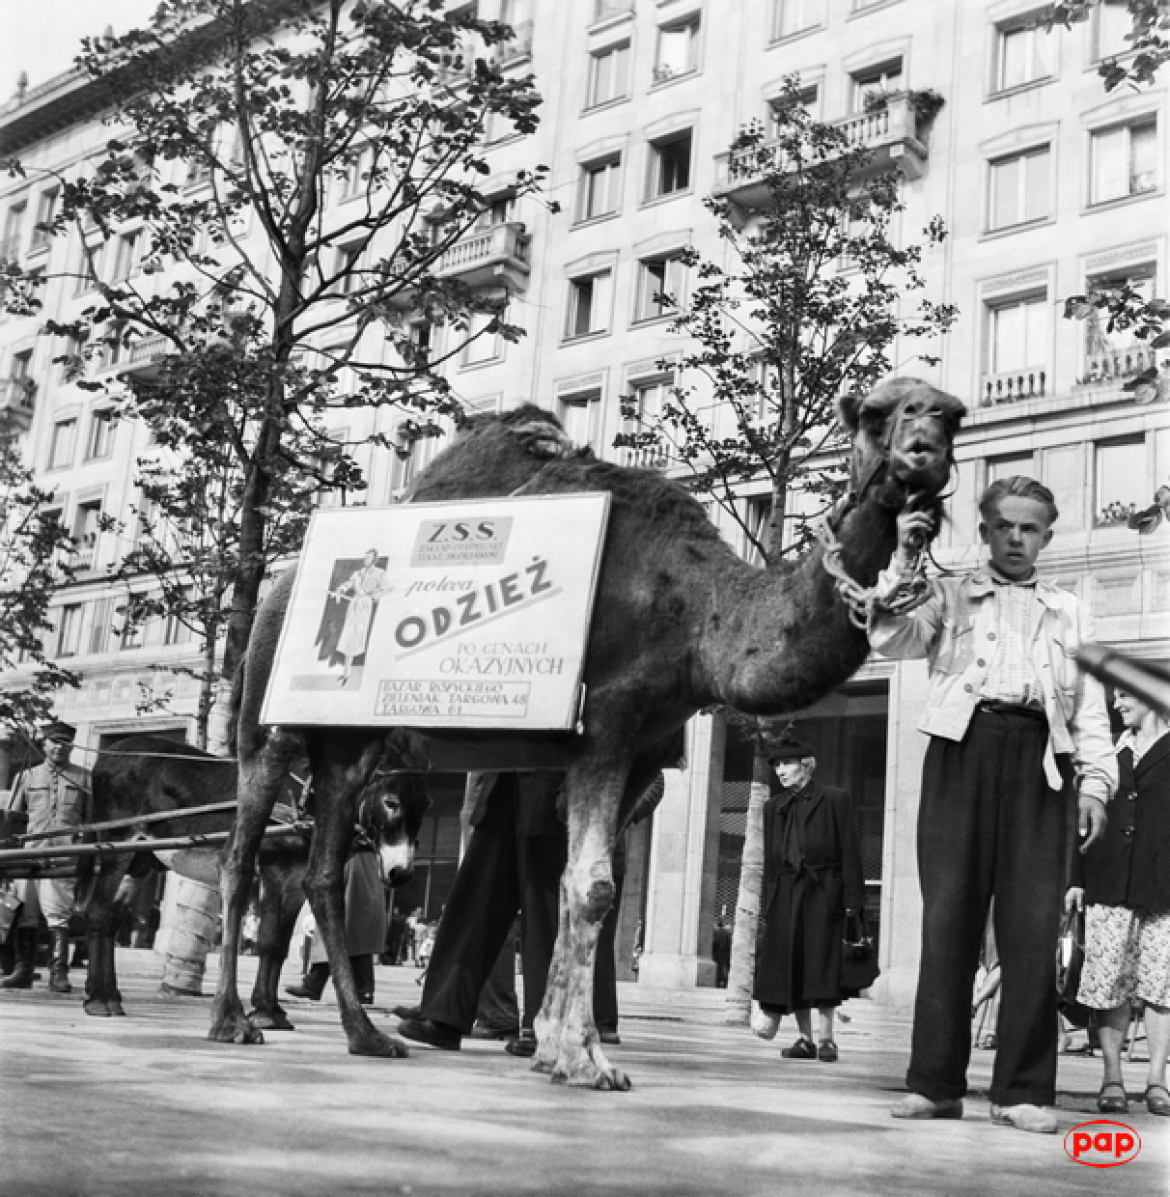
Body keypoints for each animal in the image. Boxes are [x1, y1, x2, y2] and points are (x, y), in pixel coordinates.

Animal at [75, 727, 428, 1019]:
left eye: (424, 808)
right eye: (391, 802)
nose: (401, 874)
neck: (306, 800)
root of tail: (108, 753)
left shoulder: (296, 884)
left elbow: (281, 947)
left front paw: (273, 1009)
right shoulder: (273, 872)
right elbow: (268, 942)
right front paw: (265, 1012)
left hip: (141, 861)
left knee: (110, 920)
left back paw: (107, 994)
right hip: (117, 847)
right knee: (97, 912)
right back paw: (100, 1001)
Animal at [211, 378, 967, 1091]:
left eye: (952, 414)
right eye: (876, 414)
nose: (926, 446)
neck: (698, 617)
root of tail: (275, 589)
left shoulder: (641, 752)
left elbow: (572, 884)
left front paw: (551, 1046)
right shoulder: (606, 722)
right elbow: (592, 885)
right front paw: (585, 1059)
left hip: (350, 745)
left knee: (322, 871)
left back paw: (364, 1033)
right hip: (269, 719)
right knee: (241, 852)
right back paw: (233, 1021)